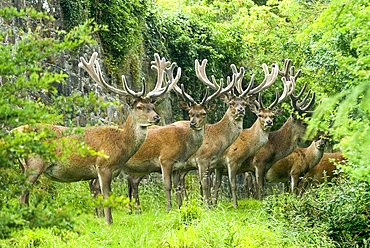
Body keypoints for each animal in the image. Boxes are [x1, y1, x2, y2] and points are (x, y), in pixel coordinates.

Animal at [15, 52, 180, 225]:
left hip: (24, 166)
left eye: (152, 106)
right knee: (22, 193)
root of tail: (12, 132)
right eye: (139, 107)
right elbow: (107, 196)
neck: (121, 145)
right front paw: (109, 222)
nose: (156, 117)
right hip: (35, 163)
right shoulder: (104, 166)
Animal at [172, 58, 278, 205]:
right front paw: (230, 205)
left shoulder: (216, 165)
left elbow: (214, 184)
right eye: (231, 103)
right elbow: (216, 184)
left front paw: (212, 204)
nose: (241, 110)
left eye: (244, 104)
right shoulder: (213, 160)